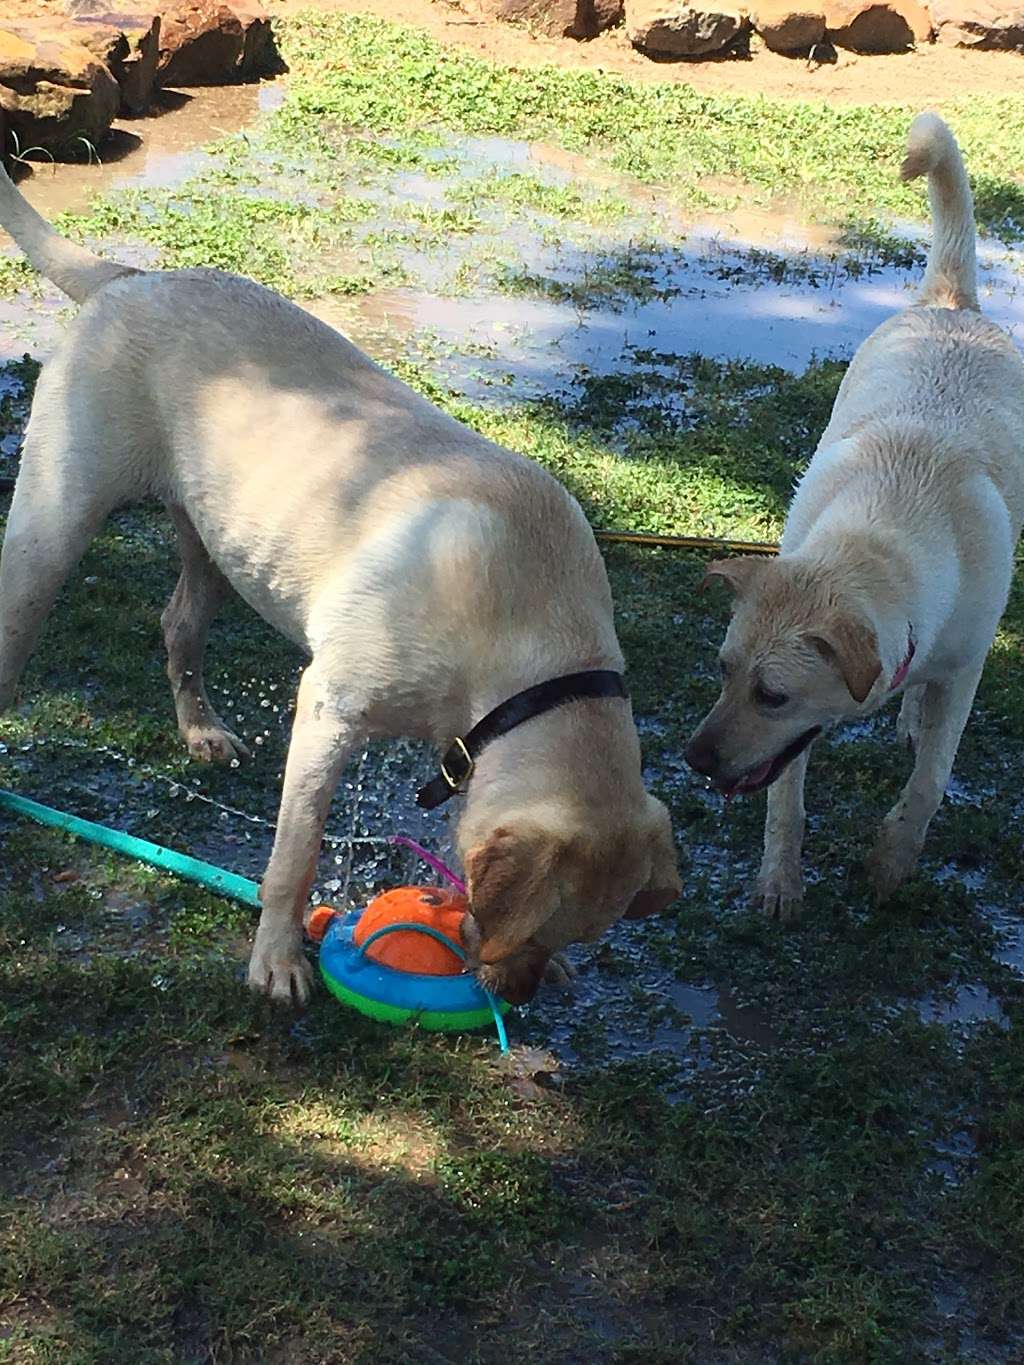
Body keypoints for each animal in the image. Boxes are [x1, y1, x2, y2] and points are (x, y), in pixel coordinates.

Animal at [0, 165, 682, 1010]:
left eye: (574, 934)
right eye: (533, 925)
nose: (517, 997)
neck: (534, 642)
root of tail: (131, 277)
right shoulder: (329, 709)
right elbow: (294, 857)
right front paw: (278, 960)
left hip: (216, 543)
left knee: (178, 623)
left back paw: (202, 730)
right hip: (52, 527)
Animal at [685, 114, 1021, 917]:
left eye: (772, 694)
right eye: (721, 669)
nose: (693, 759)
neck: (879, 536)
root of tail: (950, 303)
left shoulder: (964, 670)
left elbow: (932, 780)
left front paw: (892, 860)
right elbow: (785, 800)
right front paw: (780, 878)